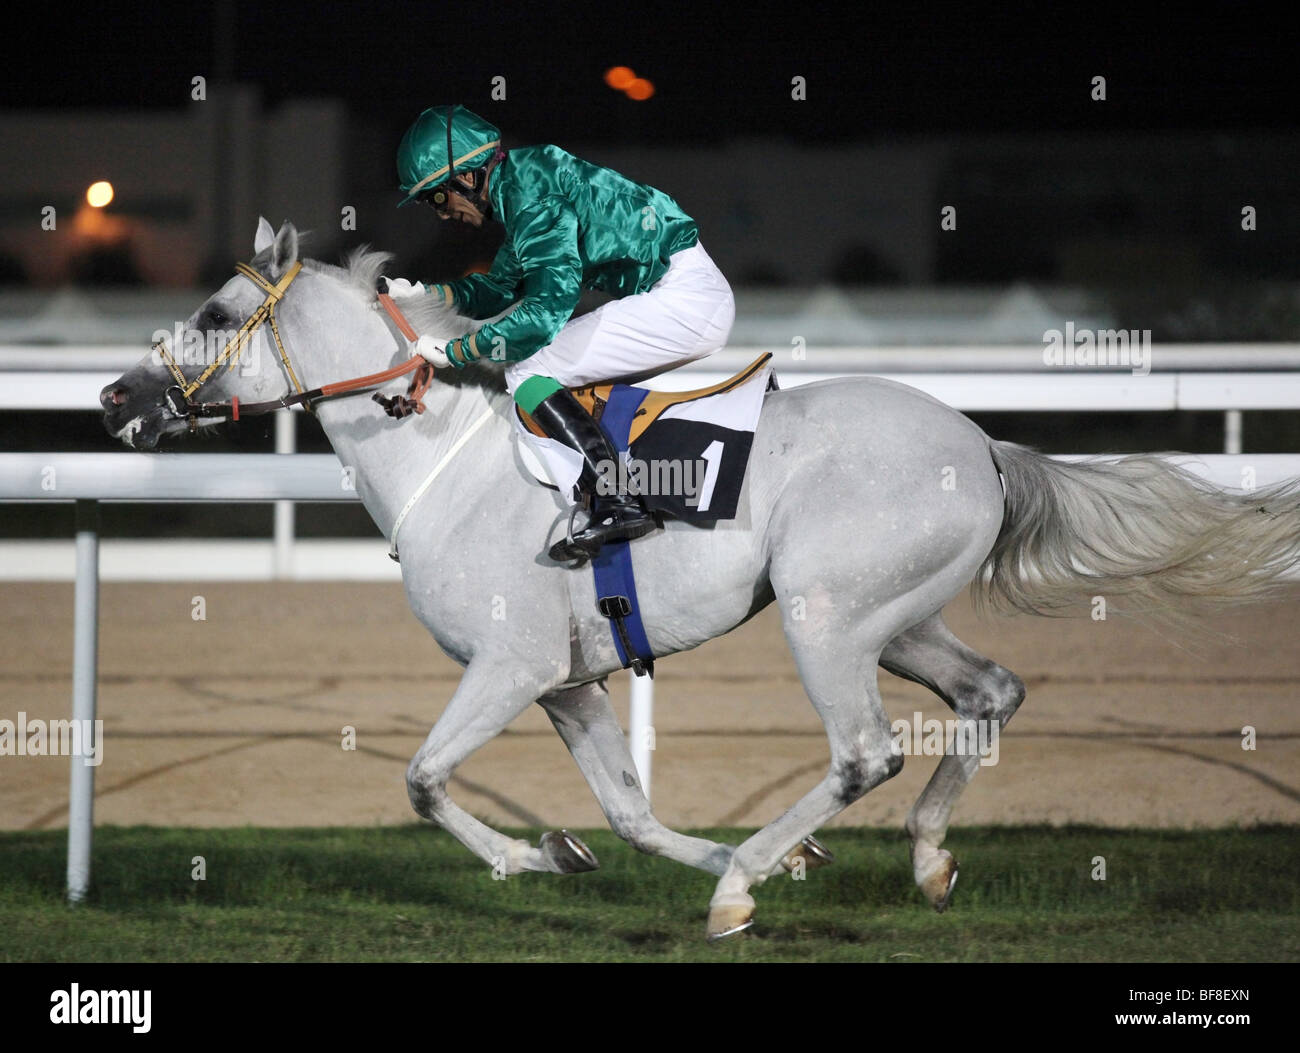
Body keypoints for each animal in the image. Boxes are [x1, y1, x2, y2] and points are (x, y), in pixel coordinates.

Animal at [98, 219, 1300, 935]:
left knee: (863, 752)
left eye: (212, 316)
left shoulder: (509, 663)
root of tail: (986, 445)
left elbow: (424, 780)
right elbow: (627, 816)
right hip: (895, 619)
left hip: (824, 618)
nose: (115, 399)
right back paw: (920, 859)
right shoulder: (567, 680)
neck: (444, 457)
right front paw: (600, 849)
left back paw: (740, 889)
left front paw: (547, 857)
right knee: (990, 691)